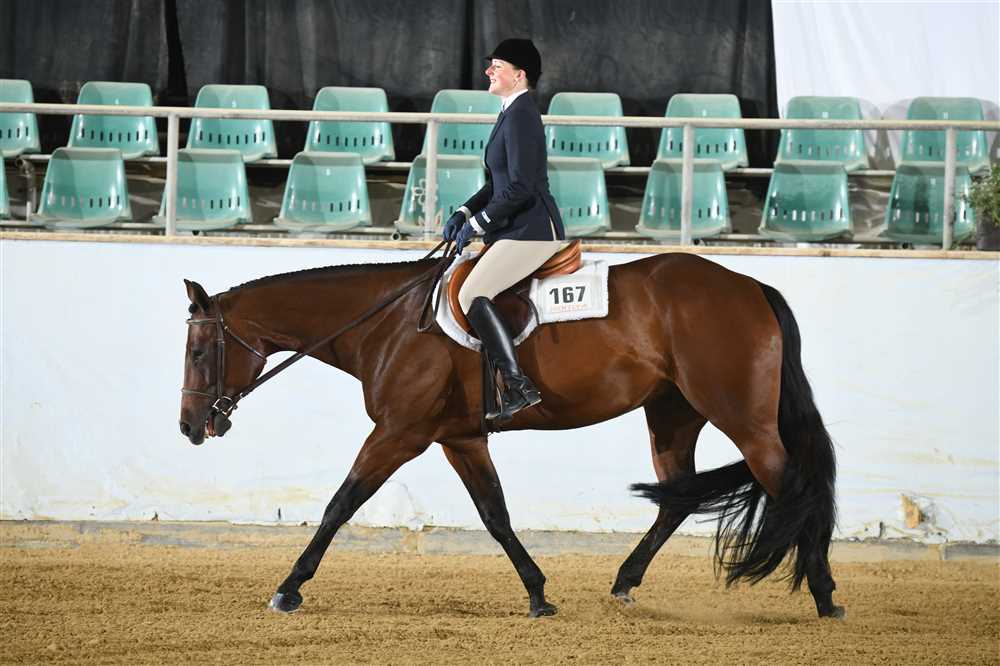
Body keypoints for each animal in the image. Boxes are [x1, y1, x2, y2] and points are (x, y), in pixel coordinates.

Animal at [178, 248, 843, 620]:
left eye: (200, 349)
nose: (189, 427)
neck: (388, 323)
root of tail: (751, 286)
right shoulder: (460, 439)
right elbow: (495, 514)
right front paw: (539, 594)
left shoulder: (398, 433)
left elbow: (340, 504)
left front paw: (288, 590)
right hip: (673, 413)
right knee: (678, 495)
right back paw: (625, 582)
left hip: (743, 417)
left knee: (791, 487)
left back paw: (825, 597)